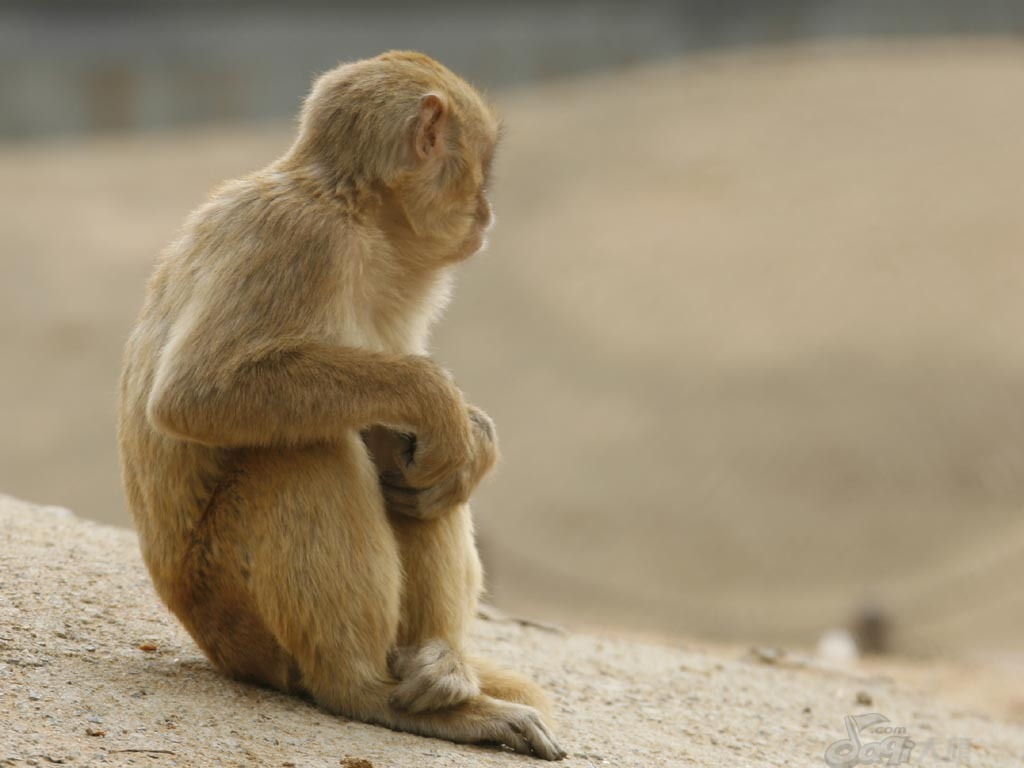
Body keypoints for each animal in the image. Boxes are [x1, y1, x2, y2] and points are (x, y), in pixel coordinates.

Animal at [120, 51, 569, 761]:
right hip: (231, 611)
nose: (486, 211)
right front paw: (436, 401)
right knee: (307, 452)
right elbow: (198, 392)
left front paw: (473, 446)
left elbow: (420, 447)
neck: (353, 210)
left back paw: (438, 666)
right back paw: (364, 689)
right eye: (482, 164)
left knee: (410, 481)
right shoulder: (301, 238)